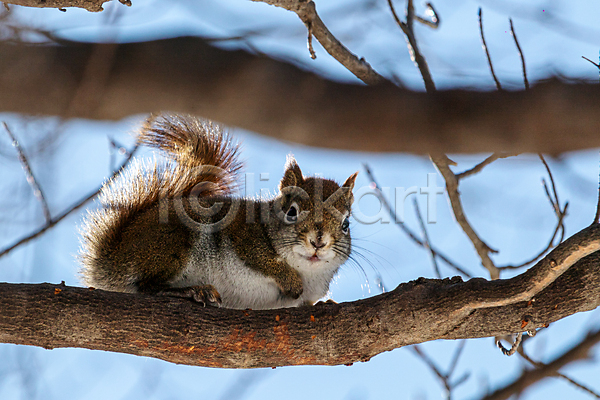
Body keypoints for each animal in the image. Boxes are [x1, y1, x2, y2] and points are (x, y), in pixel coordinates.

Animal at [79, 112, 356, 310]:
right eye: (292, 212)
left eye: (346, 224)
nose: (318, 242)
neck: (308, 272)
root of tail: (109, 261)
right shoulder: (242, 234)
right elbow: (263, 259)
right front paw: (290, 279)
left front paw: (324, 301)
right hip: (170, 242)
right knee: (148, 285)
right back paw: (192, 291)